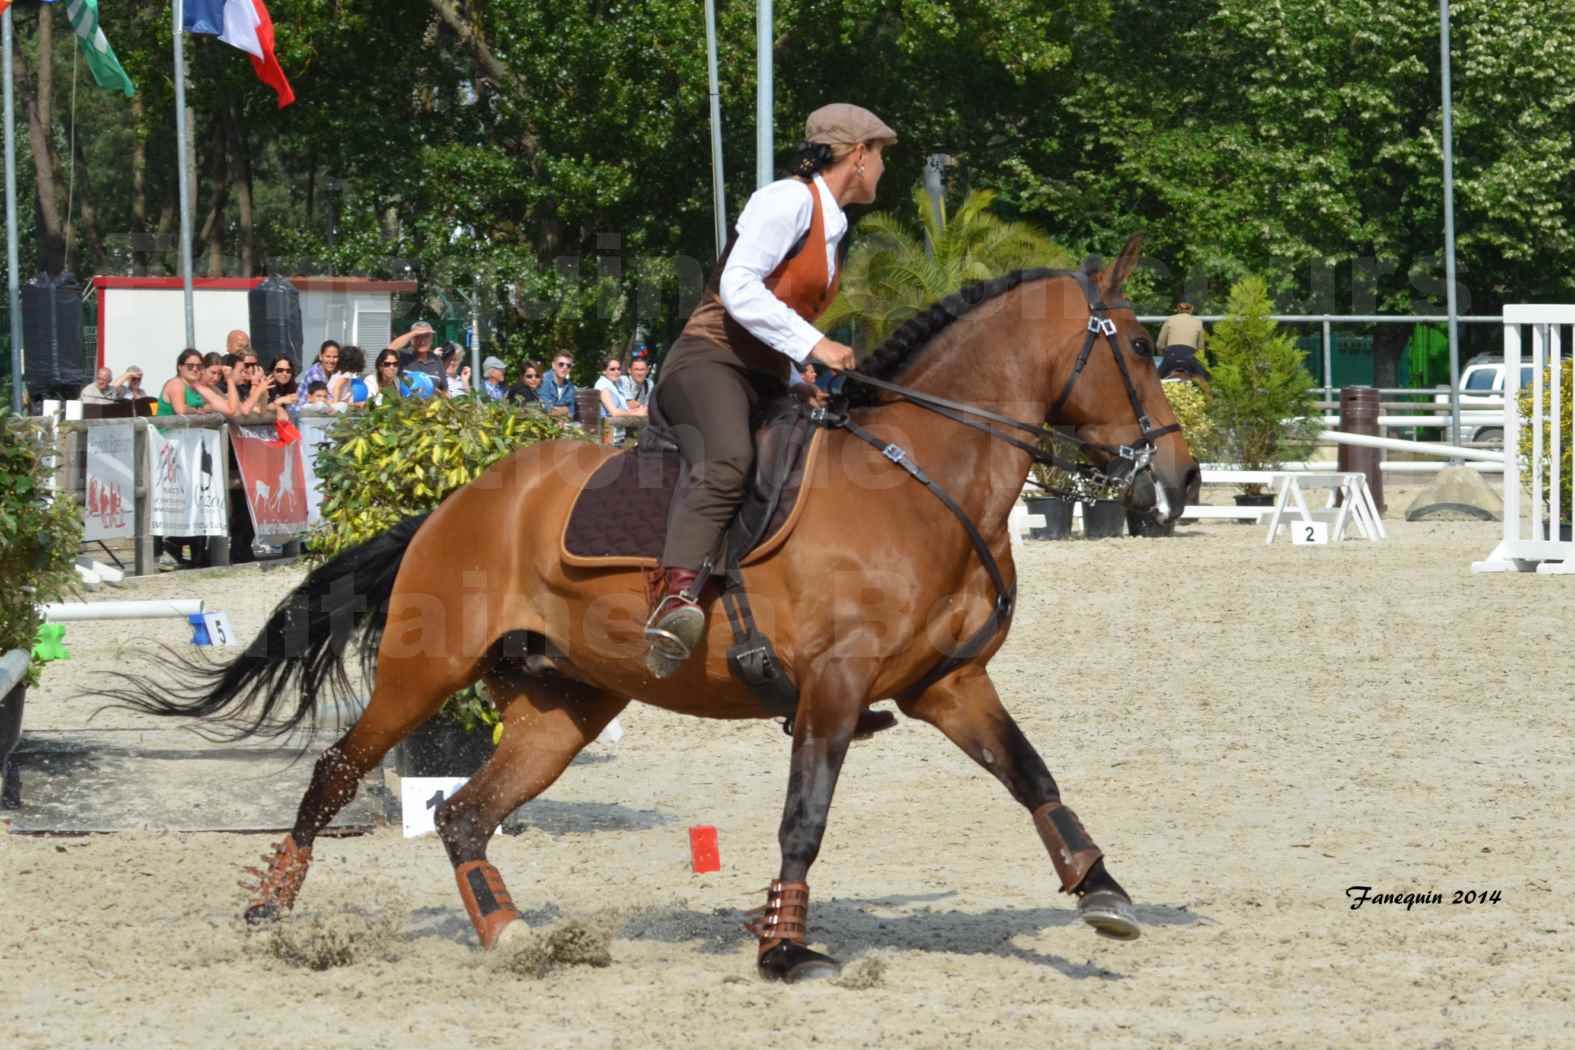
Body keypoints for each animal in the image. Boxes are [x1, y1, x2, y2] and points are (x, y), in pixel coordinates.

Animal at [114, 236, 1190, 988]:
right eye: (1141, 345)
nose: (1175, 478)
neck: (919, 480)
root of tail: (455, 502)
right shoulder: (835, 689)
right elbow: (804, 820)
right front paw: (784, 950)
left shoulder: (947, 682)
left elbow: (1030, 775)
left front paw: (1101, 892)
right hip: (427, 674)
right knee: (338, 772)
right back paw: (273, 911)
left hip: (564, 706)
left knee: (464, 814)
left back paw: (513, 938)